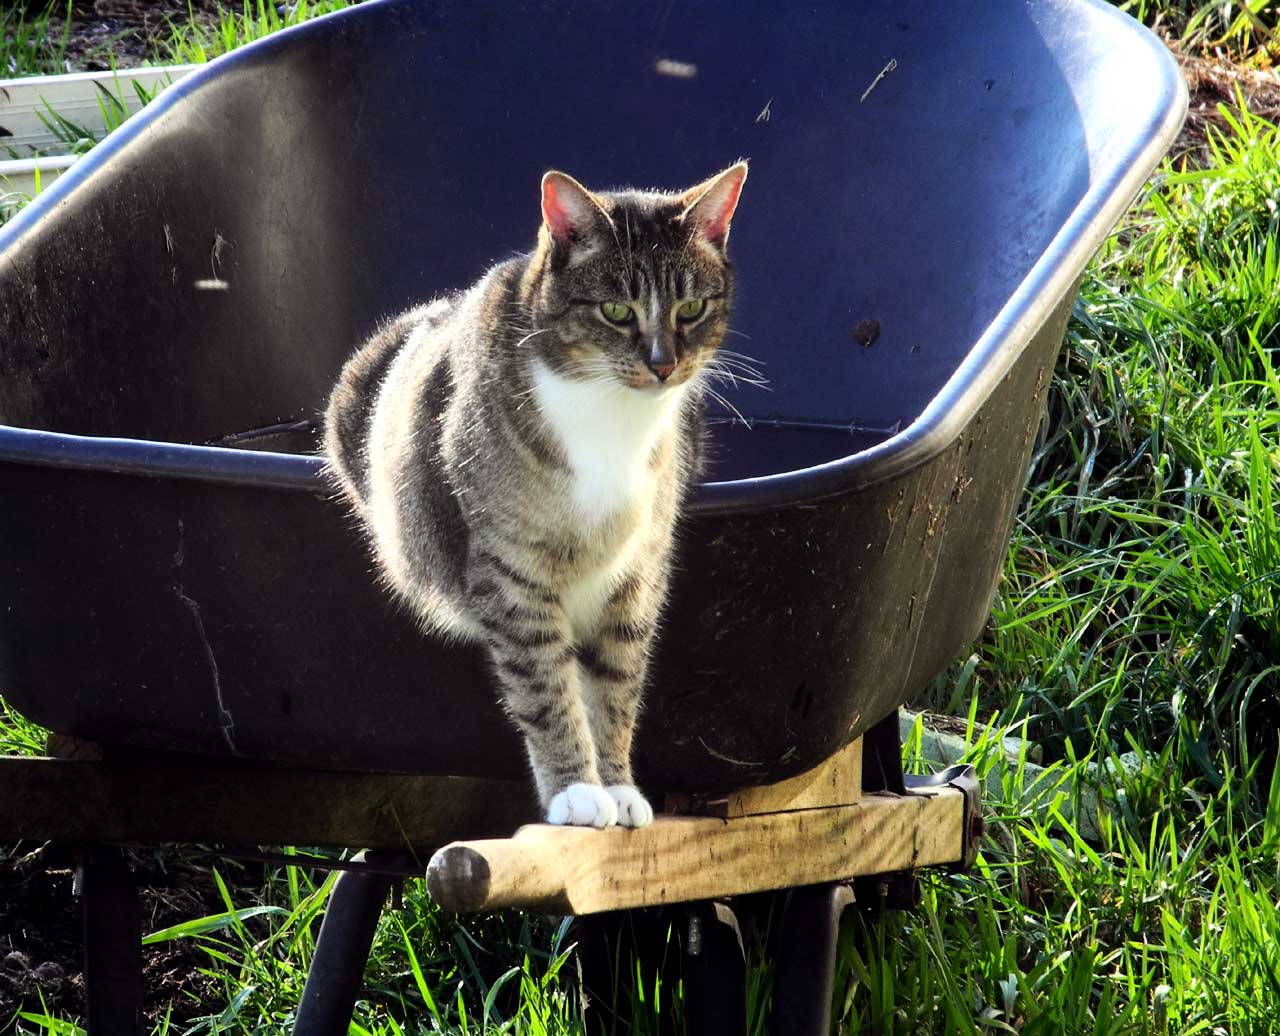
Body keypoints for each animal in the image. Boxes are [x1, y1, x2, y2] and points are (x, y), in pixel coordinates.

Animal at [325, 159, 747, 824]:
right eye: (616, 310)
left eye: (692, 307)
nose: (663, 365)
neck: (610, 410)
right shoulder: (512, 567)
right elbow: (543, 683)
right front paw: (576, 789)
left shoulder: (639, 570)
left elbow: (618, 684)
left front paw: (617, 784)